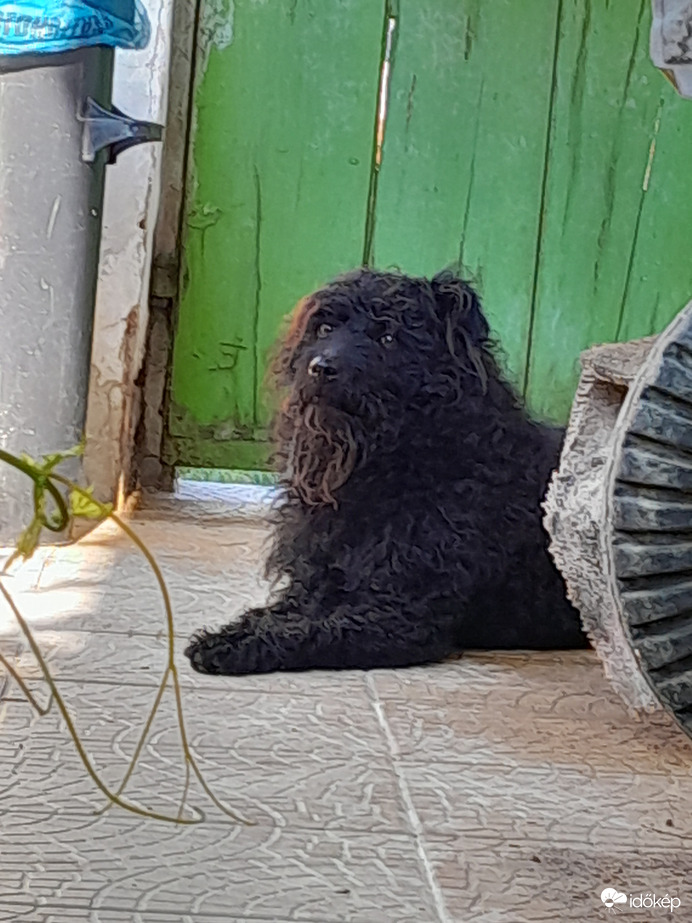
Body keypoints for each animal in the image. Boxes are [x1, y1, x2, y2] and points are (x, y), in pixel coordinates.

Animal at [187, 270, 588, 676]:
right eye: (325, 327)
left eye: (389, 338)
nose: (321, 368)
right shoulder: (314, 588)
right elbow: (277, 615)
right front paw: (234, 631)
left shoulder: (397, 615)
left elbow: (308, 631)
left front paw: (231, 645)